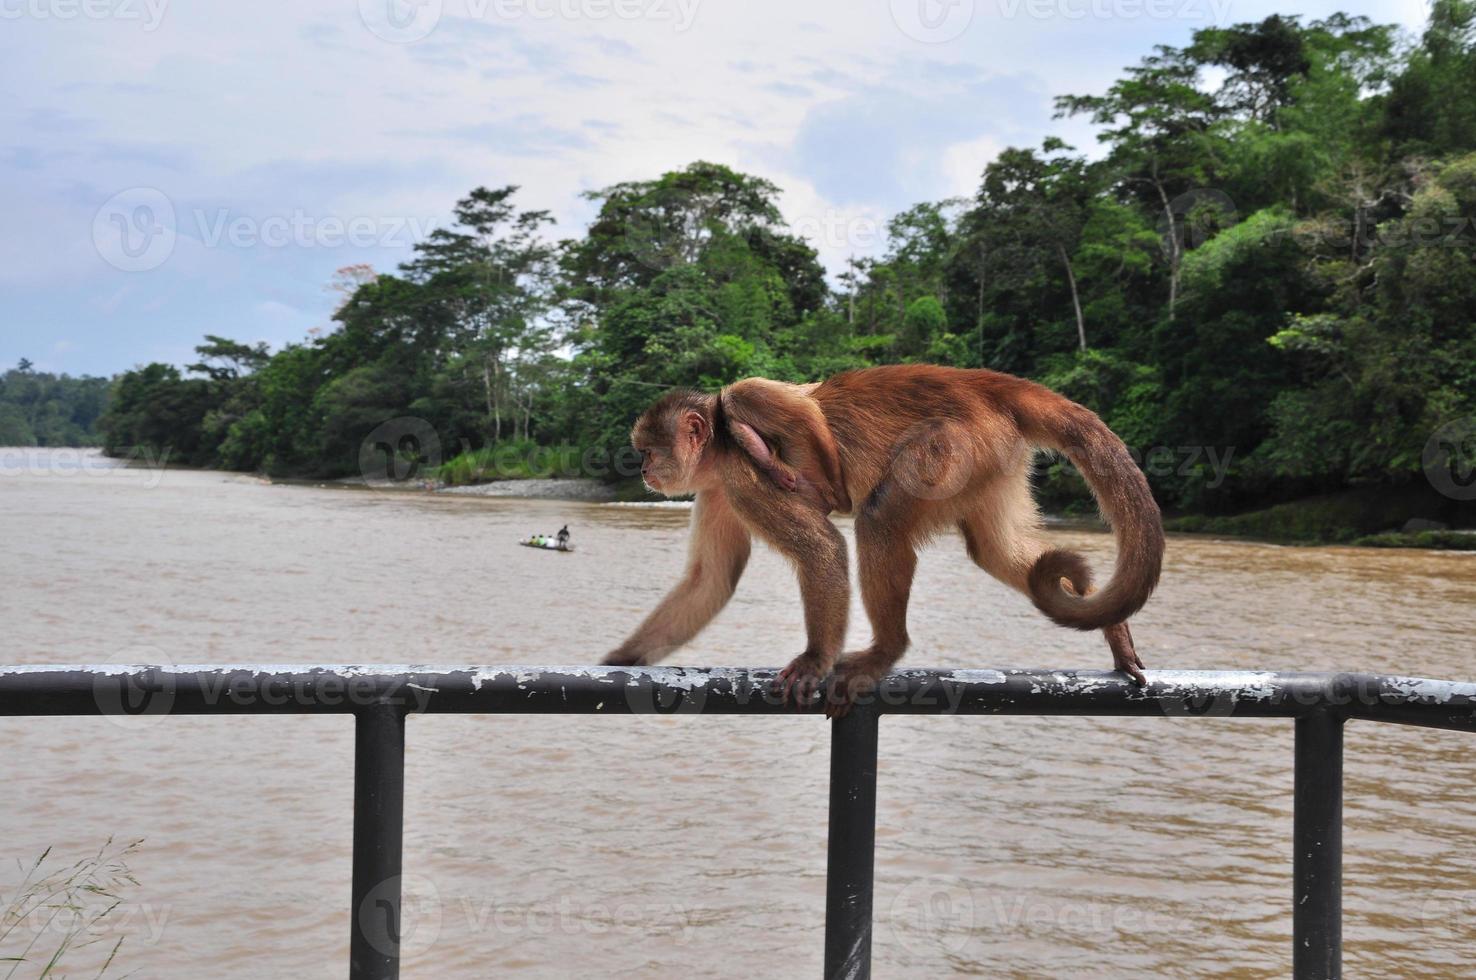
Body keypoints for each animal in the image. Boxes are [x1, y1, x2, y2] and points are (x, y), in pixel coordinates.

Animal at [602, 363, 1163, 717]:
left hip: (955, 444)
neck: (721, 447)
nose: (644, 470)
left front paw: (815, 659)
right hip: (992, 455)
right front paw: (619, 663)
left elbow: (823, 550)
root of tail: (981, 387)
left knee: (880, 518)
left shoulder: (743, 478)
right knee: (990, 548)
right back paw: (1113, 629)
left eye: (648, 451)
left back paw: (886, 648)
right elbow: (710, 581)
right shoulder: (719, 489)